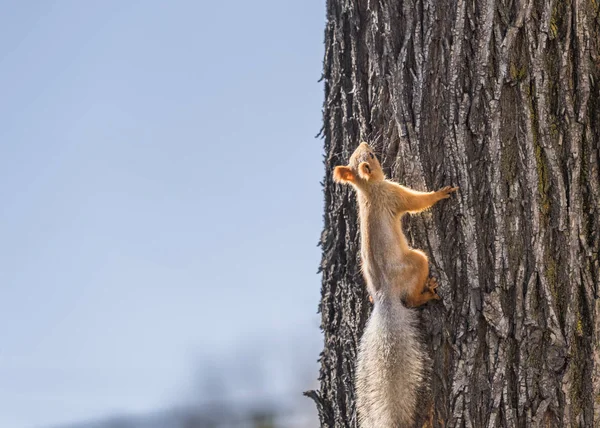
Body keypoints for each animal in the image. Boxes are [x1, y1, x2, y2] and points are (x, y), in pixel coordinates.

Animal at [332, 143, 460, 428]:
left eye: (359, 153)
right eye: (371, 157)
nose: (366, 143)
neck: (367, 190)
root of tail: (384, 296)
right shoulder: (393, 194)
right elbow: (417, 203)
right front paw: (441, 193)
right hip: (416, 260)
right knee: (411, 297)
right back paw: (427, 293)